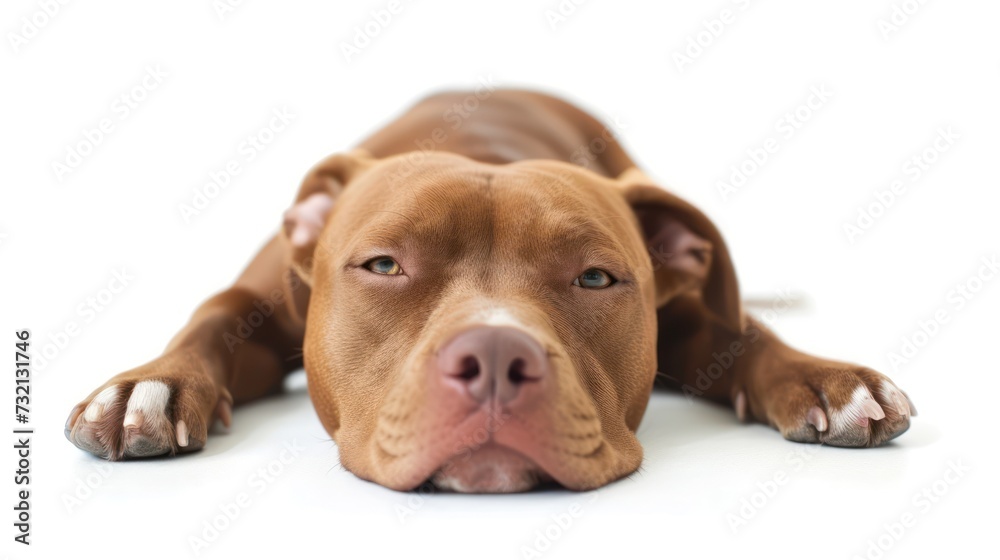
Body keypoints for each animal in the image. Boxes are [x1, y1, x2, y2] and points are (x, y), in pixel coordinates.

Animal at [64, 89, 916, 492]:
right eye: (384, 266)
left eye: (596, 277)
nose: (500, 359)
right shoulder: (257, 303)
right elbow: (214, 315)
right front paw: (148, 388)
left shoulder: (693, 320)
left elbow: (741, 331)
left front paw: (826, 378)